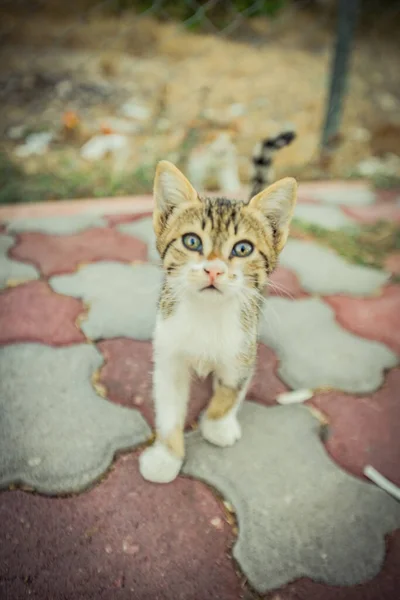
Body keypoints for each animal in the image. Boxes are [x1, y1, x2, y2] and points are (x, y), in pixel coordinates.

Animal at [139, 131, 296, 482]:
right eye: (192, 241)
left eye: (243, 248)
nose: (213, 270)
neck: (207, 314)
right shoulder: (168, 355)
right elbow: (169, 407)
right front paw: (166, 457)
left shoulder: (243, 347)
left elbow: (231, 388)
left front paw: (218, 425)